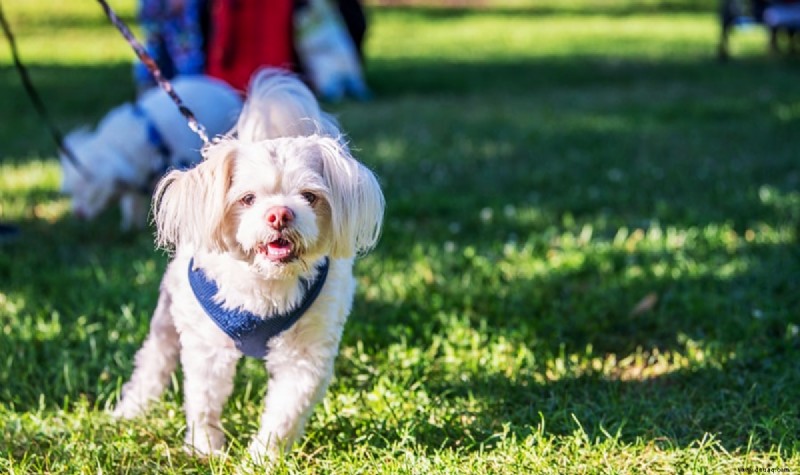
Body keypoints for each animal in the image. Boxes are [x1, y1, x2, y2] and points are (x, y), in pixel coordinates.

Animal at [112, 70, 384, 464]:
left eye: (309, 197)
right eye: (247, 198)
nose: (280, 214)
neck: (265, 285)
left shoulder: (304, 356)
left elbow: (285, 413)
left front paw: (263, 457)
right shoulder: (207, 347)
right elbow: (203, 402)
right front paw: (205, 449)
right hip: (168, 314)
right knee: (154, 360)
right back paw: (132, 409)